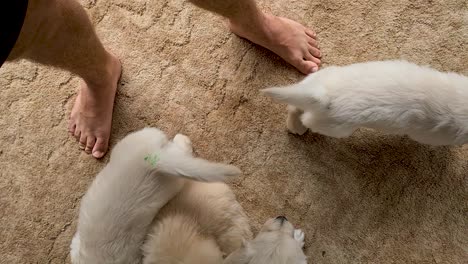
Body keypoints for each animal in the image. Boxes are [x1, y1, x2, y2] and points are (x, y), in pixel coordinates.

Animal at [264, 59, 468, 145]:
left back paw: (293, 126)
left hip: (321, 75)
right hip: (337, 128)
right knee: (304, 116)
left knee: (294, 106)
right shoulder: (433, 135)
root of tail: (325, 95)